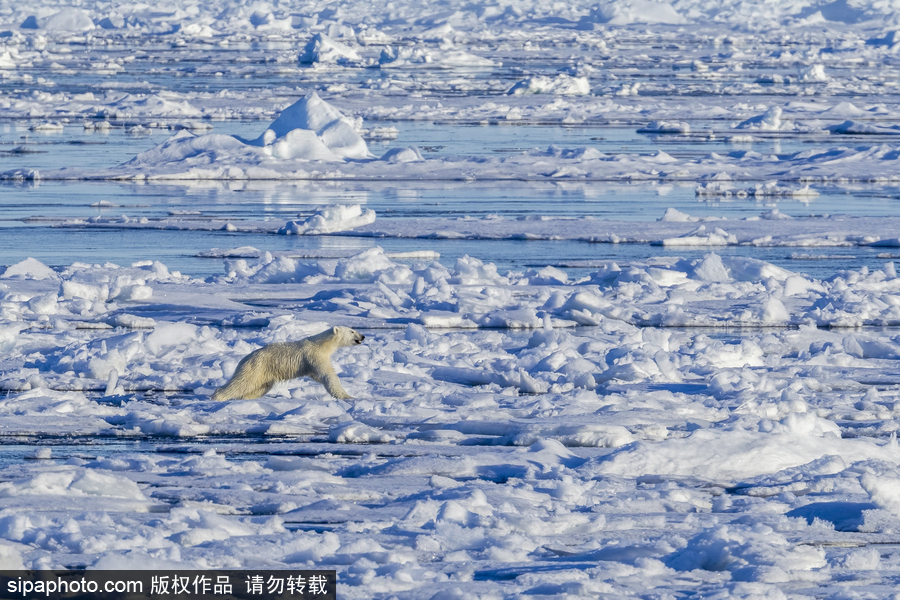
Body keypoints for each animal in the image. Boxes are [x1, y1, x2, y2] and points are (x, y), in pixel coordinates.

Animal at [211, 326, 366, 400]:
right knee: (241, 383)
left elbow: (318, 376)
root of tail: (245, 358)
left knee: (259, 387)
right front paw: (348, 397)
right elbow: (328, 376)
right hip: (256, 368)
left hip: (264, 374)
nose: (363, 336)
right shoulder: (315, 355)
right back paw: (217, 396)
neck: (322, 344)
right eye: (352, 331)